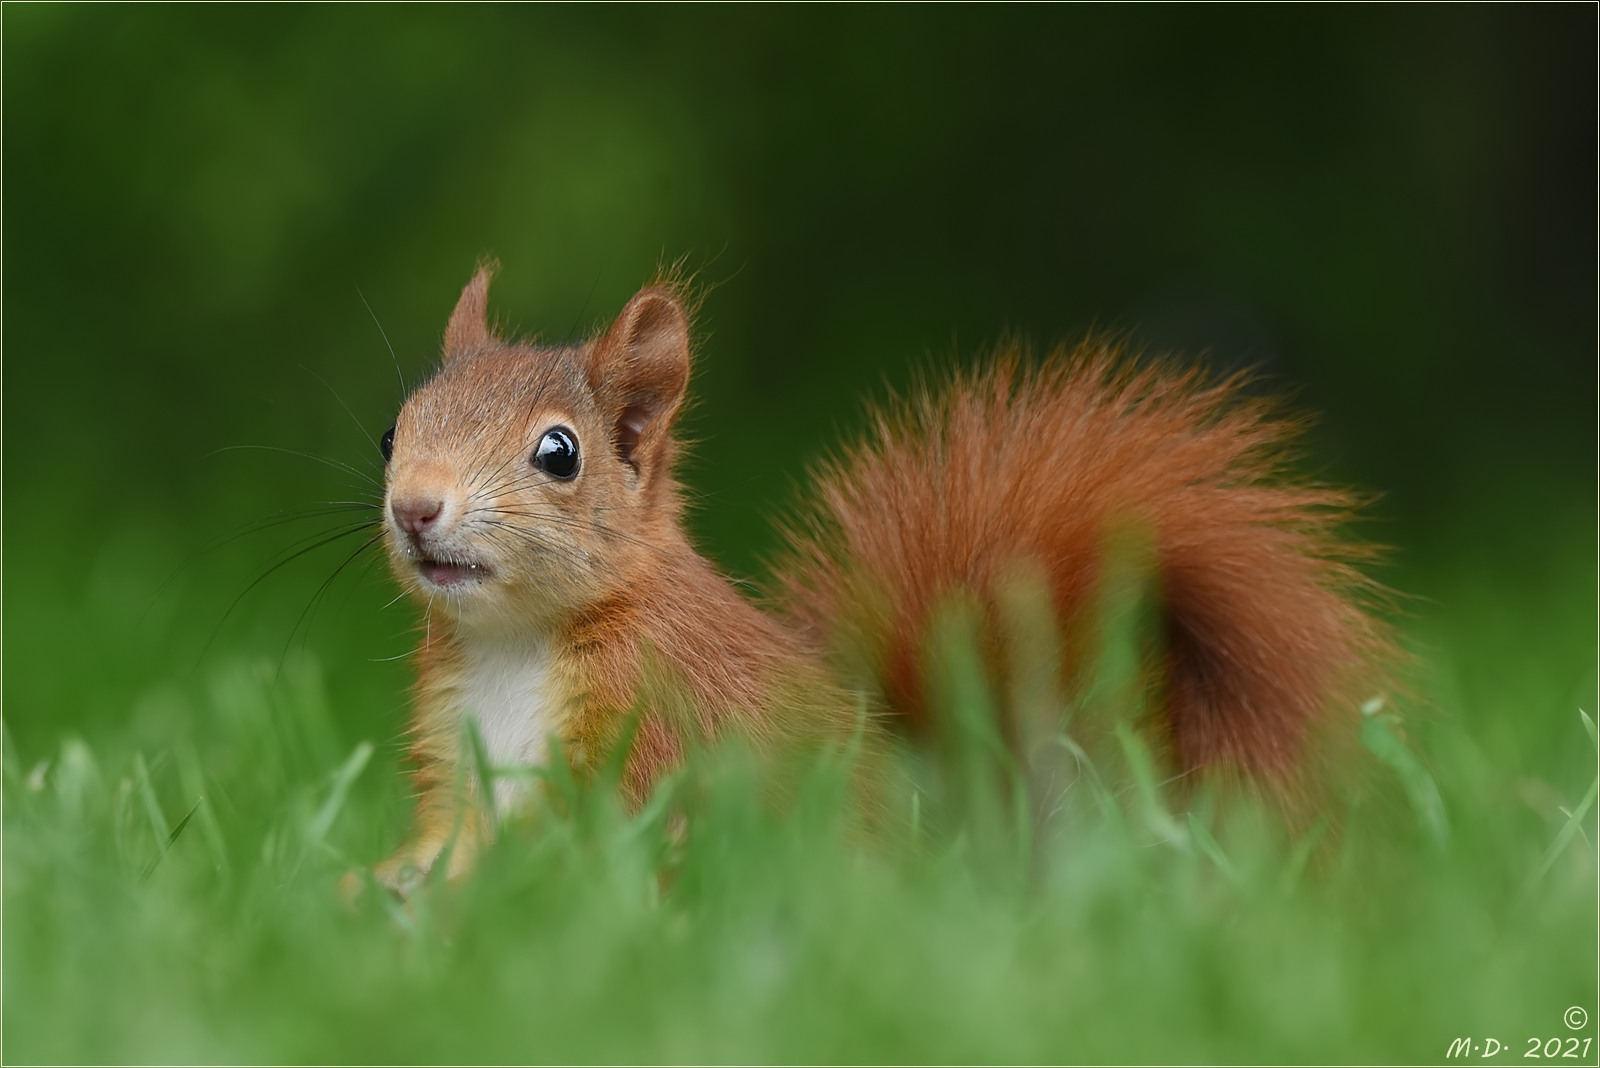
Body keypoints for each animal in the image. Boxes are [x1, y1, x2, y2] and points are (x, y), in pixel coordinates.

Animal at [368, 262, 1395, 888]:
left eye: (560, 452)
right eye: (390, 433)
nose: (415, 507)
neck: (517, 644)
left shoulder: (650, 721)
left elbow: (575, 846)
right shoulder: (458, 762)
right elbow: (444, 839)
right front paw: (373, 887)